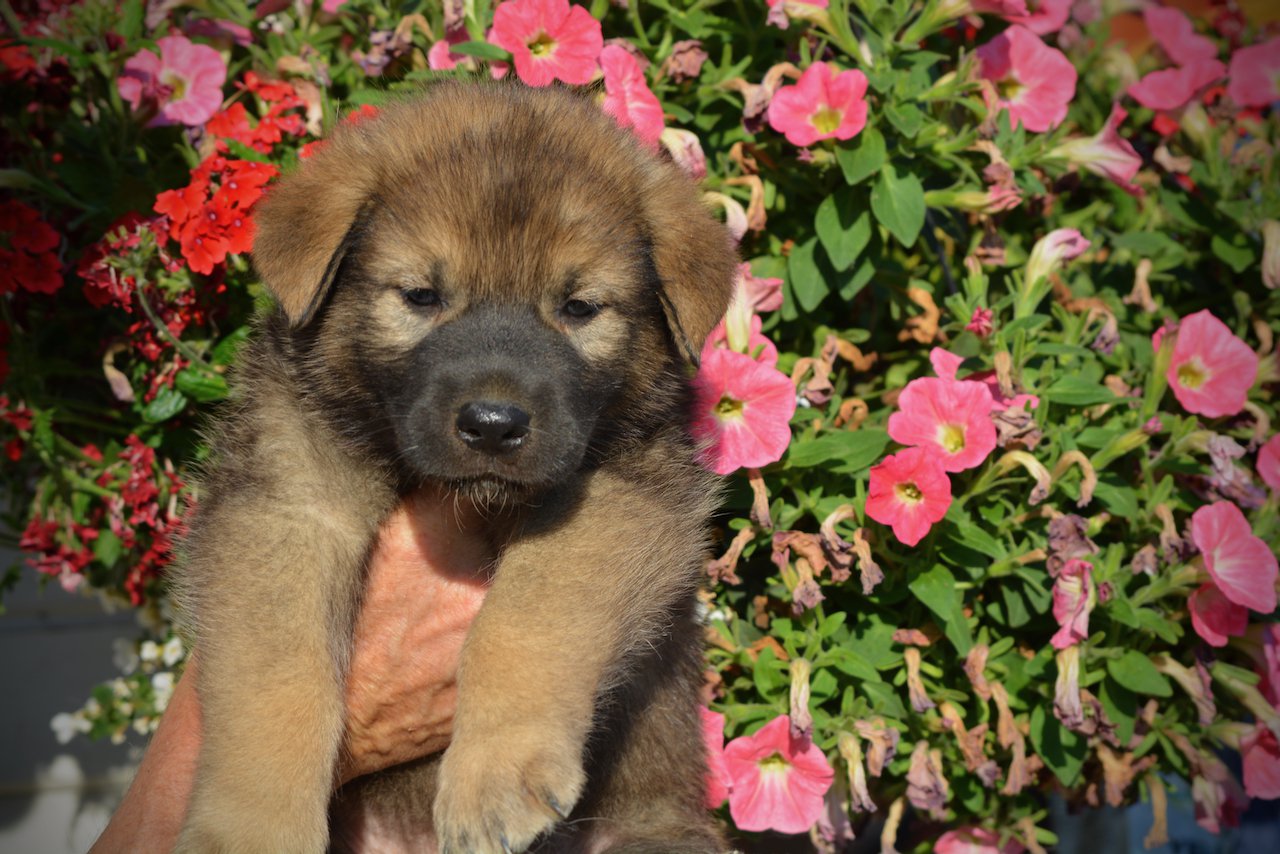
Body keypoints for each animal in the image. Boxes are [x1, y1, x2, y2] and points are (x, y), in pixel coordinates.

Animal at [166, 81, 737, 854]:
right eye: (420, 296)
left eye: (579, 307)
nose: (493, 425)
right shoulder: (286, 503)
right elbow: (276, 678)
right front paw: (249, 831)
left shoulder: (626, 490)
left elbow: (528, 615)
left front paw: (496, 770)